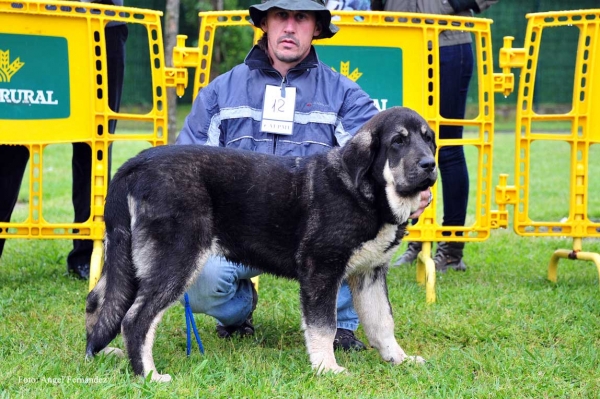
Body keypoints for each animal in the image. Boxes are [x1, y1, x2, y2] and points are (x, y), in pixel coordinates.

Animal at [84, 105, 438, 382]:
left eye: (428, 139)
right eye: (398, 142)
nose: (429, 165)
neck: (366, 193)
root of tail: (136, 164)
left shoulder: (369, 274)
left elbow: (382, 322)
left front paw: (398, 359)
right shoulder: (321, 270)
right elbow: (324, 325)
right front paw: (327, 368)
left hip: (129, 262)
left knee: (99, 305)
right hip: (176, 259)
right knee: (135, 319)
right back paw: (148, 375)